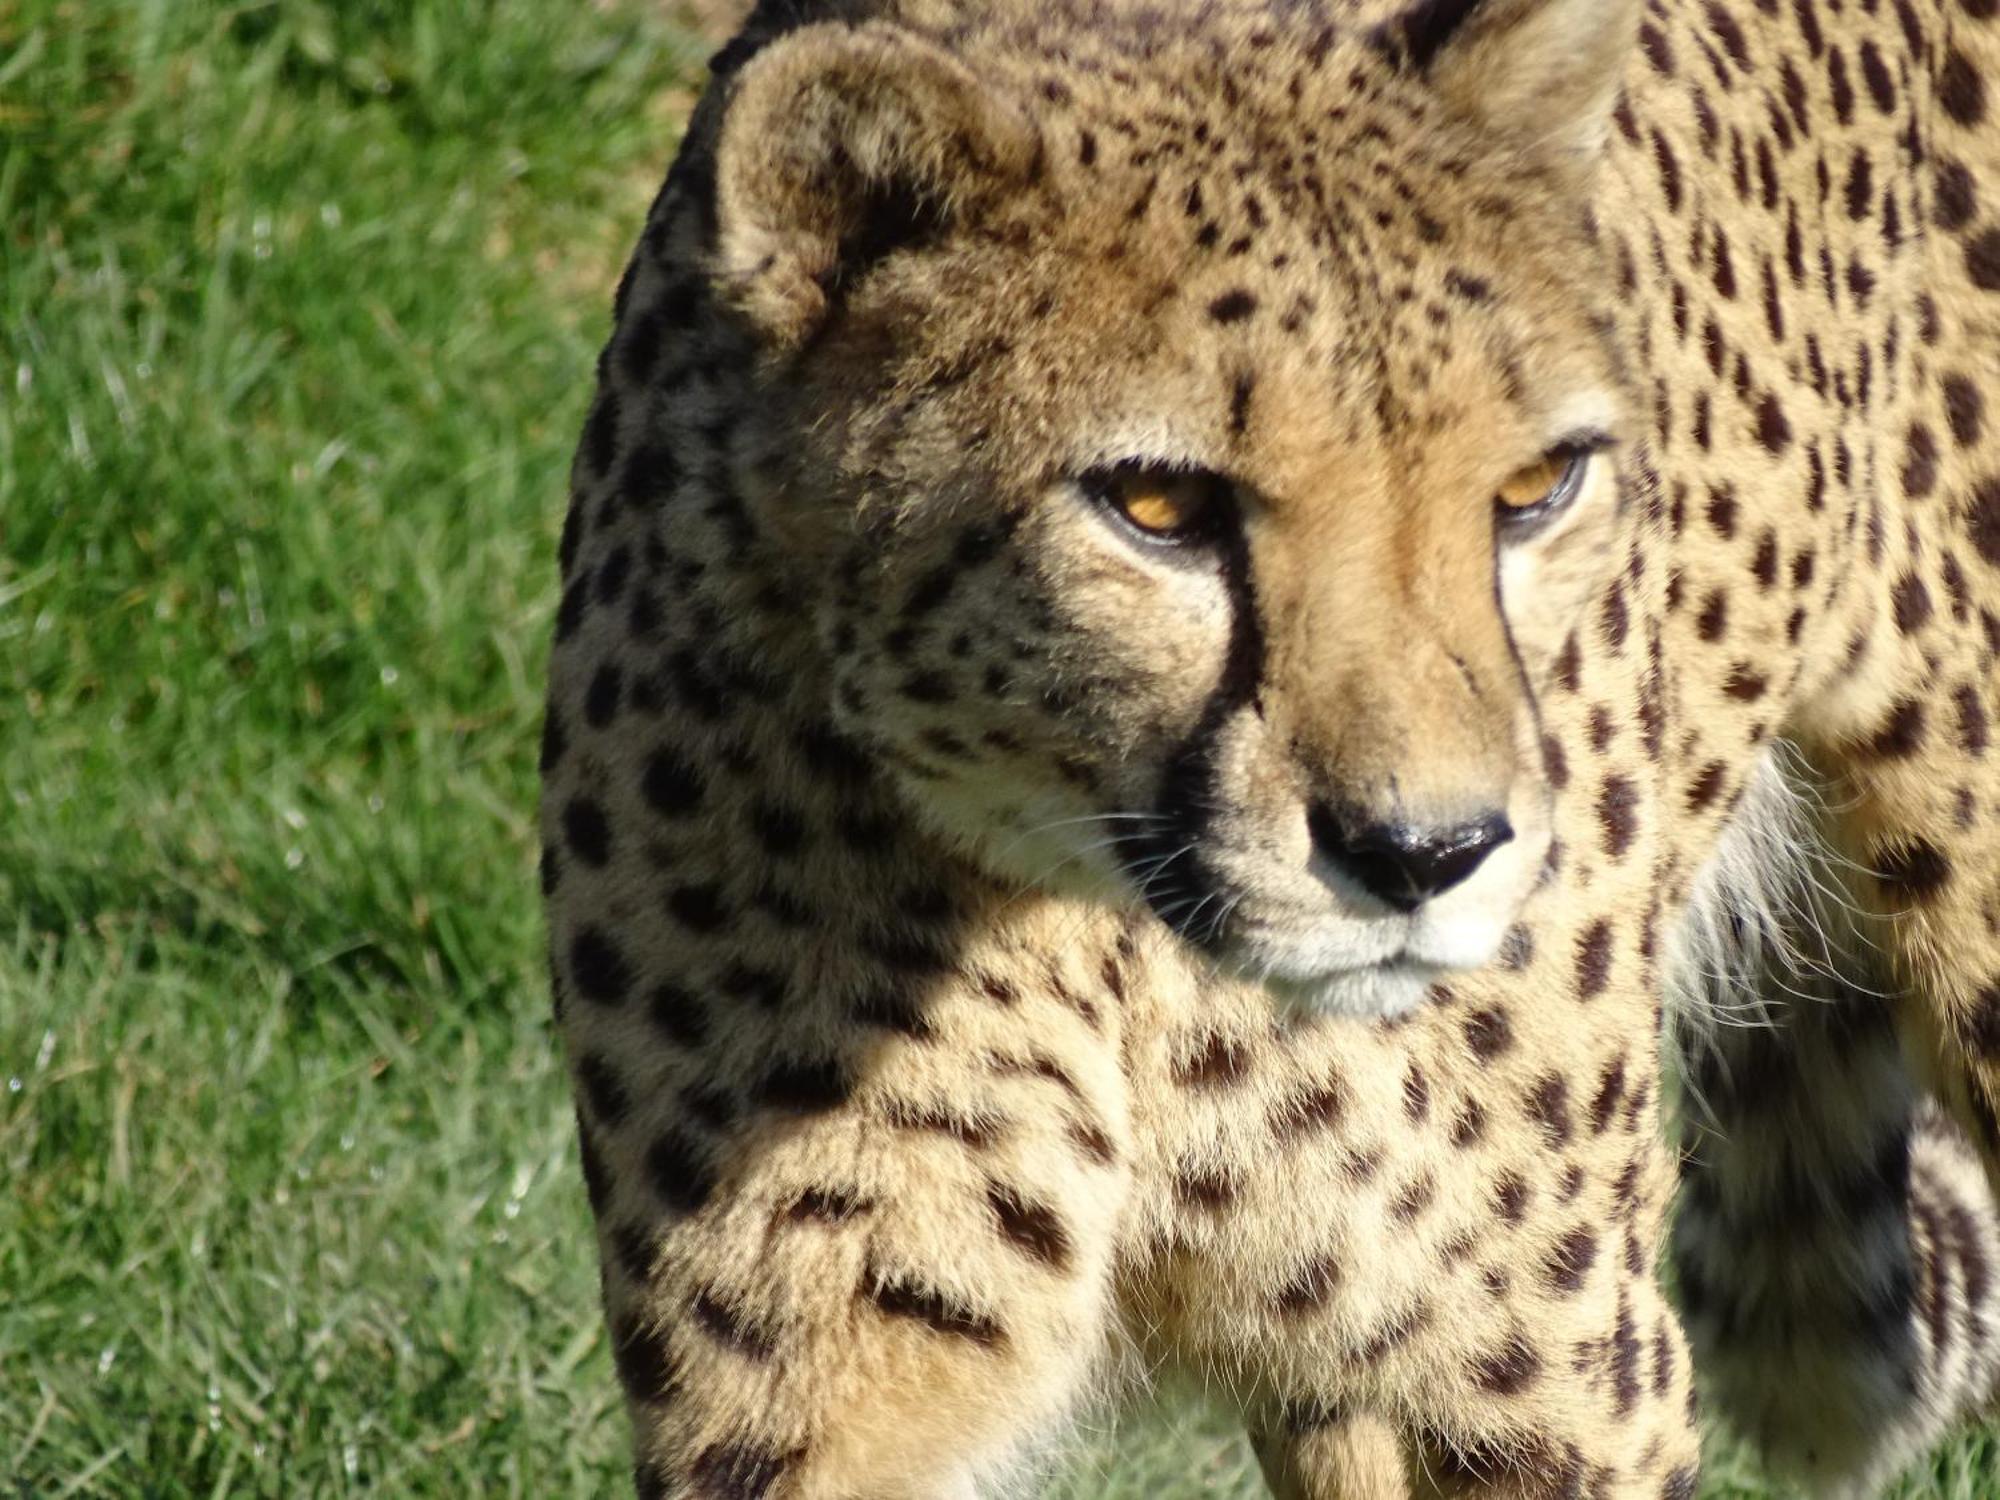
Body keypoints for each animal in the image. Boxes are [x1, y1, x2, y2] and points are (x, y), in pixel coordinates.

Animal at [536, 0, 2000, 1496]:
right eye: (1155, 504)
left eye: (1537, 487)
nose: (1425, 855)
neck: (1131, 962)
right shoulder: (807, 1360)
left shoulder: (1543, 1361)